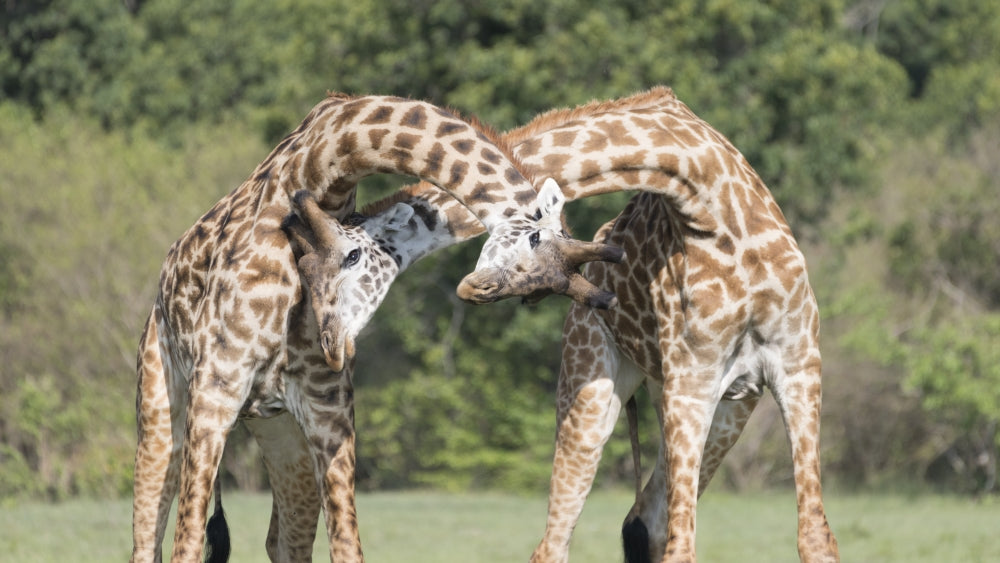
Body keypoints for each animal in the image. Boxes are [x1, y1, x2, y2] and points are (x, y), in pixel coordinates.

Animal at [130, 91, 620, 563]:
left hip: (282, 435)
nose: (333, 347)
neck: (317, 172)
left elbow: (347, 546)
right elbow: (186, 544)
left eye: (534, 292)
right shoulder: (215, 393)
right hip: (161, 410)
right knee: (147, 536)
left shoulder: (328, 413)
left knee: (283, 540)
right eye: (533, 241)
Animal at [286, 87, 838, 562]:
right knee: (563, 540)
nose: (474, 289)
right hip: (594, 389)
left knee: (646, 518)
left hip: (730, 408)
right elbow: (685, 544)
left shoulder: (798, 366)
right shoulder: (692, 380)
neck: (715, 209)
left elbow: (816, 537)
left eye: (350, 257)